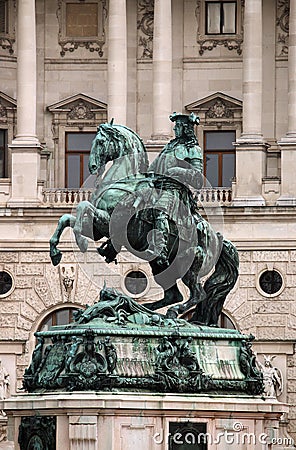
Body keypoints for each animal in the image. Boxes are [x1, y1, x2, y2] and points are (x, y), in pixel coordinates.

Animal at [49, 121, 238, 326]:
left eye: (100, 141)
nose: (92, 167)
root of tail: (219, 239)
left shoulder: (109, 221)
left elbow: (82, 208)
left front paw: (81, 242)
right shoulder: (98, 228)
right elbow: (67, 217)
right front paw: (55, 252)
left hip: (188, 264)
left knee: (197, 294)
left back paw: (166, 312)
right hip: (162, 266)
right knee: (174, 295)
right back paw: (141, 309)